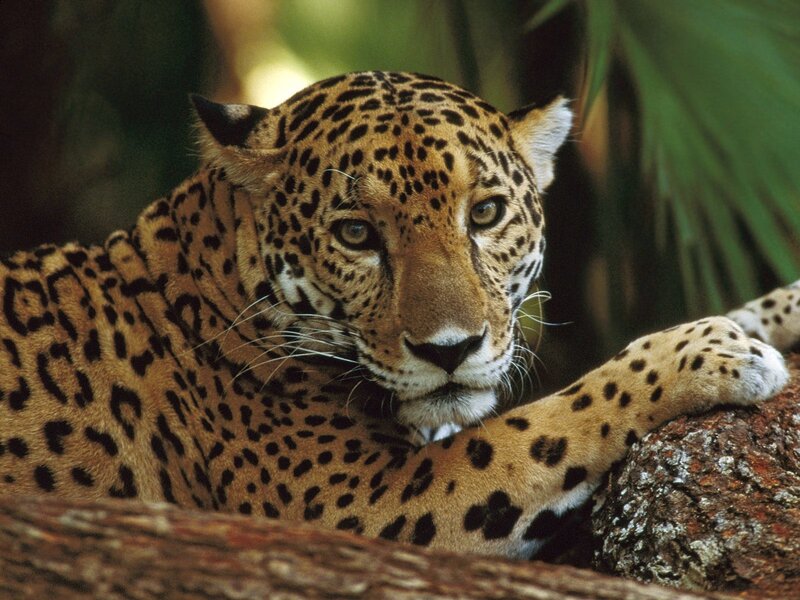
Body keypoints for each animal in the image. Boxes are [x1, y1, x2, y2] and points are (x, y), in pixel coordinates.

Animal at [0, 70, 795, 558]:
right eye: (357, 234)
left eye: (485, 214)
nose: (450, 348)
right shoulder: (358, 507)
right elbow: (559, 418)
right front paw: (707, 355)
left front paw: (774, 311)